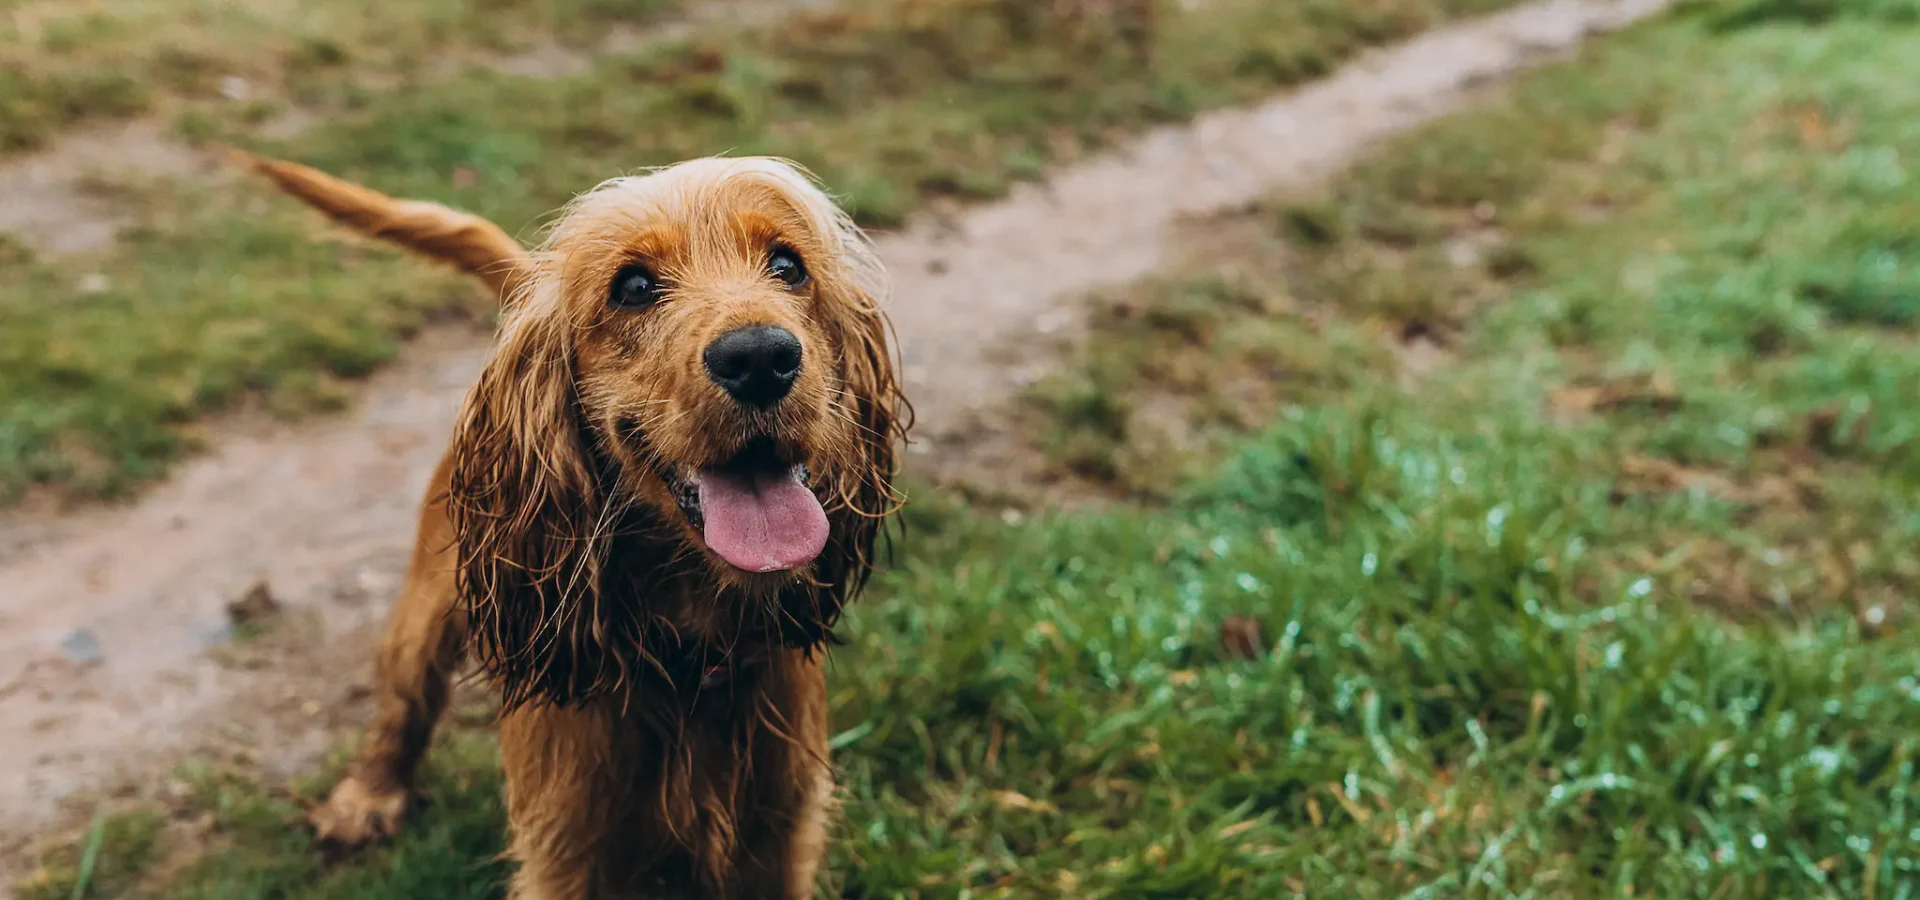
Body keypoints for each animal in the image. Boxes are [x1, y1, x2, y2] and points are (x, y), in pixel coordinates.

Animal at [243, 150, 910, 894]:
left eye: (789, 266)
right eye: (634, 286)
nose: (761, 358)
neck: (689, 662)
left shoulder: (779, 837)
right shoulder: (567, 851)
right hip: (424, 608)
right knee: (401, 703)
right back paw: (366, 799)